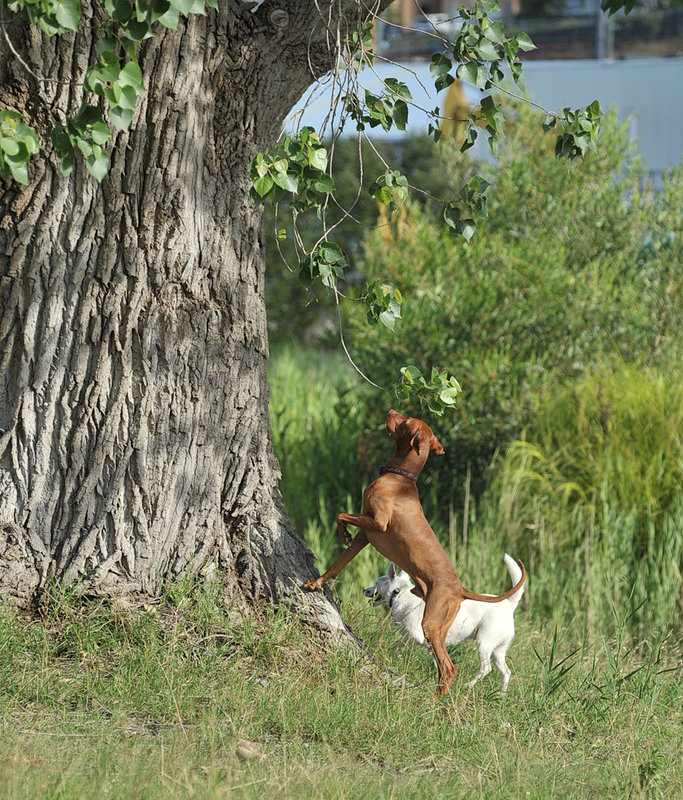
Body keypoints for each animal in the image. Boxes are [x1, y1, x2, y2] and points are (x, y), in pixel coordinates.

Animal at [366, 552, 528, 692]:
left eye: (376, 582)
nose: (364, 590)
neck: (399, 593)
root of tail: (509, 605)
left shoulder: (416, 637)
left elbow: (396, 644)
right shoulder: (429, 644)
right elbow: (431, 661)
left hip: (484, 644)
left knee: (486, 668)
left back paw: (469, 684)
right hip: (497, 651)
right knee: (506, 672)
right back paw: (501, 694)